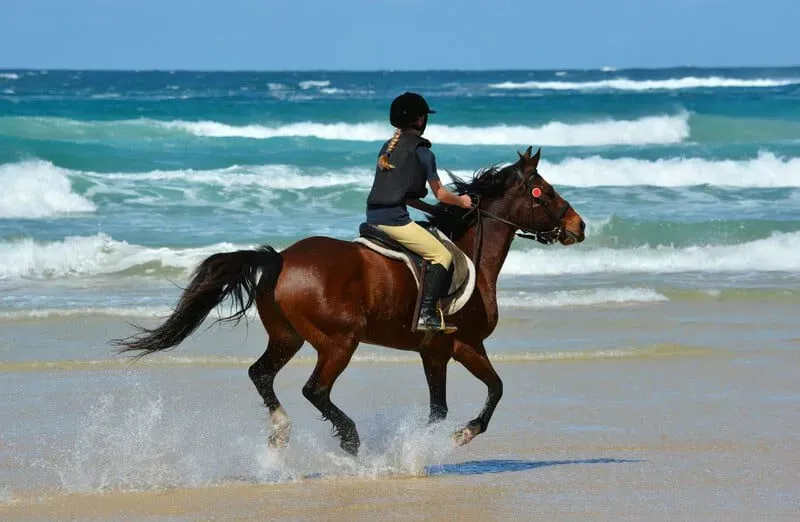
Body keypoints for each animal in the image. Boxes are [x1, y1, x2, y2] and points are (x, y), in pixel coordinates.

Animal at [112, 146, 586, 455]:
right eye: (545, 191)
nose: (578, 227)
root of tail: (280, 258)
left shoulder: (434, 351)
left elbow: (438, 408)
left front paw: (423, 444)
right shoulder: (465, 344)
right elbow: (496, 389)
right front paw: (462, 435)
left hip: (288, 337)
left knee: (261, 374)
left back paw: (282, 432)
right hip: (339, 340)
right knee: (314, 389)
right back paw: (351, 439)